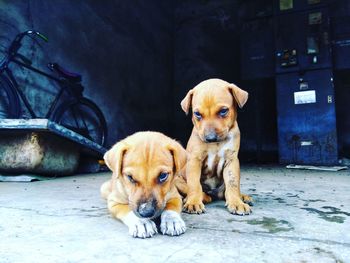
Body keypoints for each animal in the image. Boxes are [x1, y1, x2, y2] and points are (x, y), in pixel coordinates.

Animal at [180, 78, 252, 217]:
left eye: (223, 111)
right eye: (197, 114)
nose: (210, 138)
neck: (216, 144)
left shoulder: (231, 160)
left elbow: (233, 184)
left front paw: (237, 202)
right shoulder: (194, 160)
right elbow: (194, 184)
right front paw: (193, 202)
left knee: (226, 192)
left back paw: (242, 197)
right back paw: (200, 197)